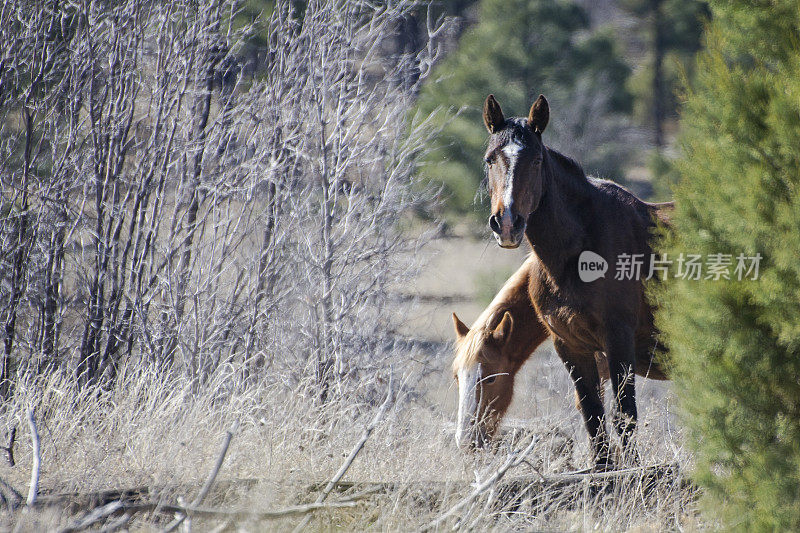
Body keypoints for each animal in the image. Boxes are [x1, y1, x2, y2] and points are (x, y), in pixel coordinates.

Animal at [478, 93, 672, 468]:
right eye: (489, 159)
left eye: (537, 160)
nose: (507, 223)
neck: (579, 252)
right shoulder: (570, 345)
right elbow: (593, 419)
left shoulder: (618, 339)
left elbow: (624, 417)